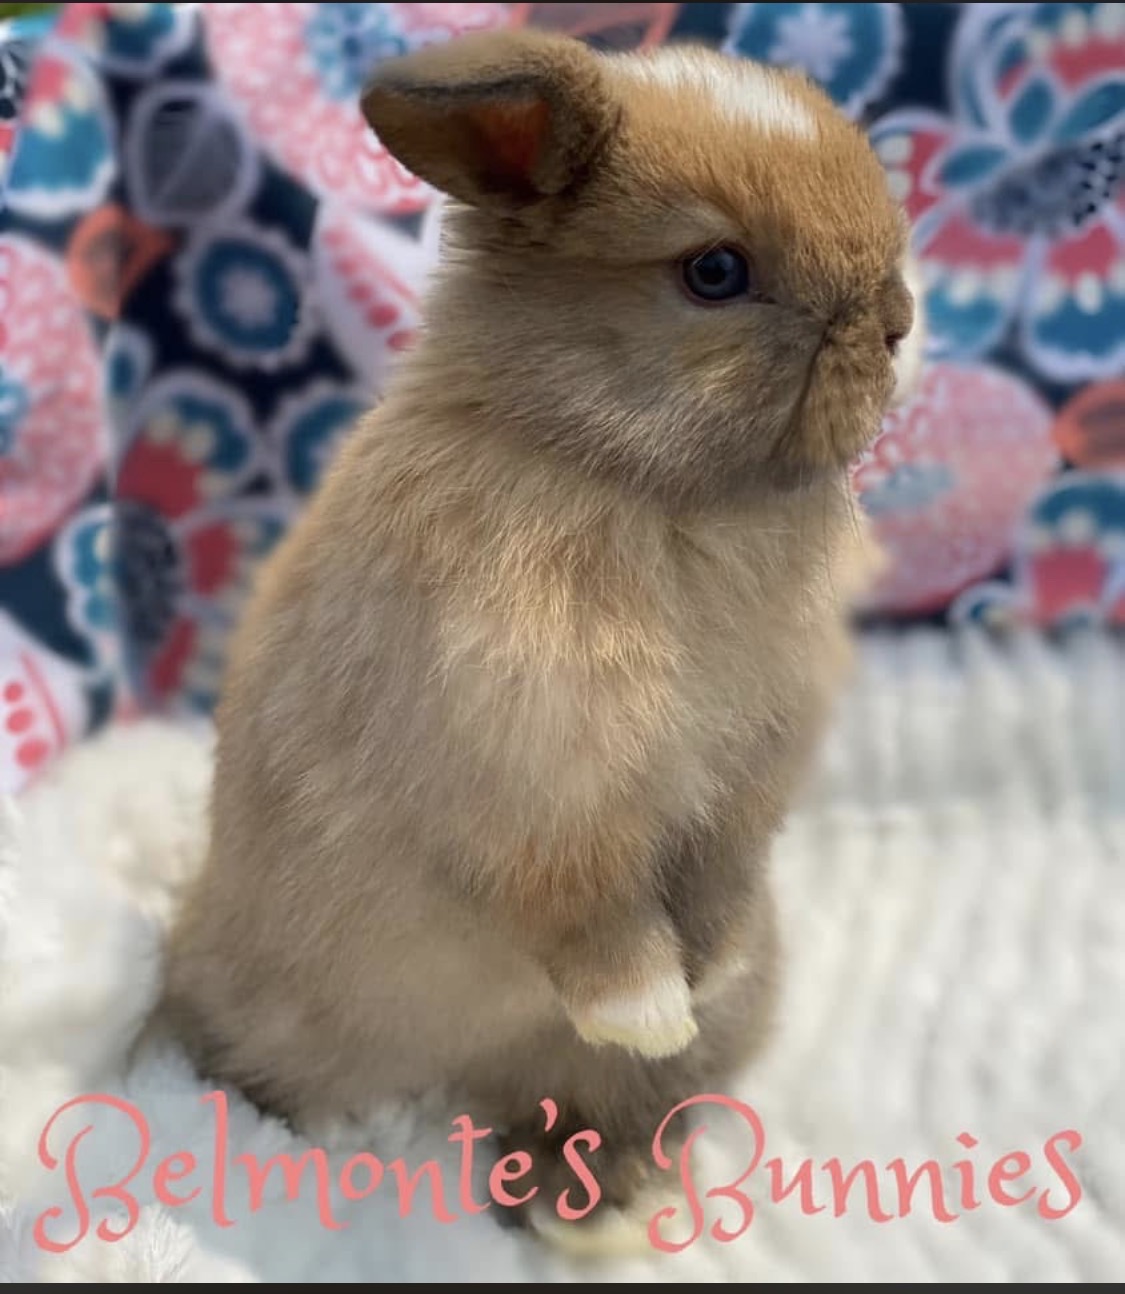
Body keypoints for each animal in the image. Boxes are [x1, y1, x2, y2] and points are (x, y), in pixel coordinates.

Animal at [160, 29, 915, 1250]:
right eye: (715, 272)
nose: (896, 322)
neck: (635, 480)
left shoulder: (744, 787)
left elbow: (717, 885)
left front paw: (707, 975)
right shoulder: (543, 793)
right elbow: (594, 921)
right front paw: (650, 1007)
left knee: (605, 1114)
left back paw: (582, 1206)